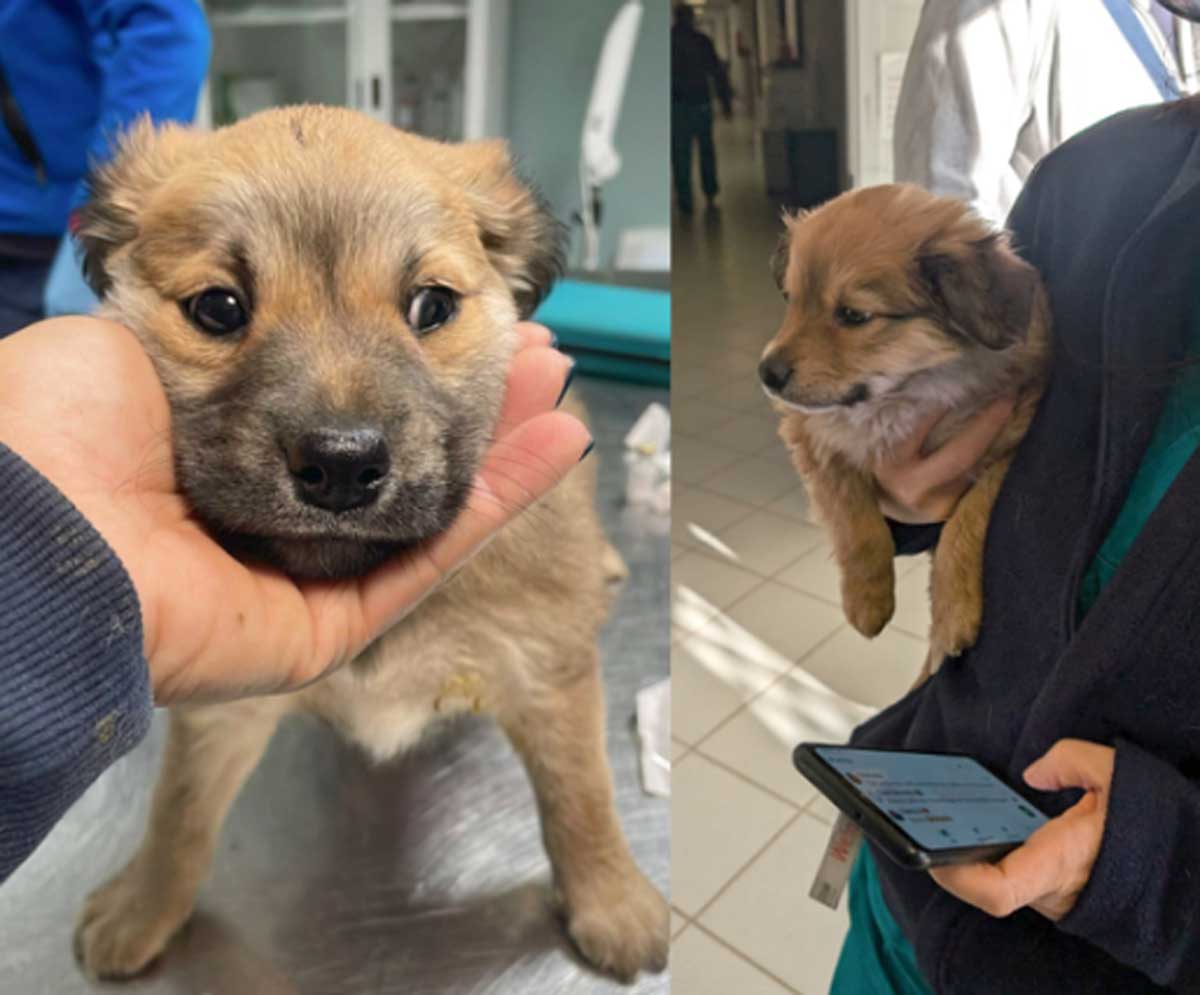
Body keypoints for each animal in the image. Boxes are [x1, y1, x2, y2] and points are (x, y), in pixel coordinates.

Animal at [70, 106, 672, 979]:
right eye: (218, 307)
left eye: (430, 306)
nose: (342, 465)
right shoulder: (226, 711)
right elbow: (180, 808)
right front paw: (144, 903)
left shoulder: (544, 667)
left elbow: (581, 791)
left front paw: (610, 900)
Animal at [758, 183, 1051, 672]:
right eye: (793, 300)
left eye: (853, 315)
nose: (766, 374)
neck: (903, 394)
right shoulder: (815, 439)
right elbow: (857, 524)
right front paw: (867, 601)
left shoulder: (1007, 445)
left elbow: (965, 523)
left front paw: (954, 613)